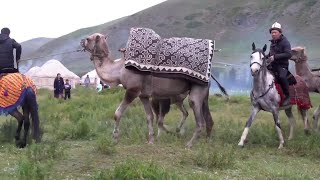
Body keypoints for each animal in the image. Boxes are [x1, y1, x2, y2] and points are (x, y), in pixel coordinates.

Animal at [81, 33, 214, 148]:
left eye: (88, 38)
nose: (81, 41)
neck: (119, 70)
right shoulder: (143, 95)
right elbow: (149, 116)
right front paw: (151, 140)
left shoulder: (132, 90)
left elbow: (117, 113)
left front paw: (115, 138)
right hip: (203, 92)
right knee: (207, 118)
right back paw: (206, 141)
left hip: (196, 90)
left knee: (198, 116)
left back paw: (189, 144)